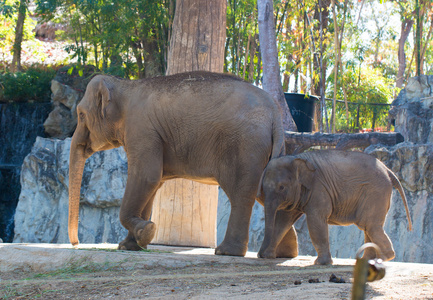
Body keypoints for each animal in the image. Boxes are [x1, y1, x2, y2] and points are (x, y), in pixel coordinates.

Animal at [69, 71, 286, 255]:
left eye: (80, 114)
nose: (76, 244)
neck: (125, 85)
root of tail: (275, 113)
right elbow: (152, 185)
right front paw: (130, 245)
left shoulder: (142, 130)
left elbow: (146, 177)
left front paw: (146, 232)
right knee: (267, 194)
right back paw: (279, 253)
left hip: (245, 147)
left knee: (241, 195)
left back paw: (226, 252)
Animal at [256, 150, 412, 264]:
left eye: (281, 187)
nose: (260, 255)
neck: (296, 158)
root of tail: (388, 170)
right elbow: (283, 220)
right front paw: (269, 255)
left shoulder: (319, 187)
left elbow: (316, 220)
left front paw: (321, 263)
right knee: (369, 227)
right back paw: (368, 260)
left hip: (376, 192)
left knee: (370, 225)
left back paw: (383, 258)